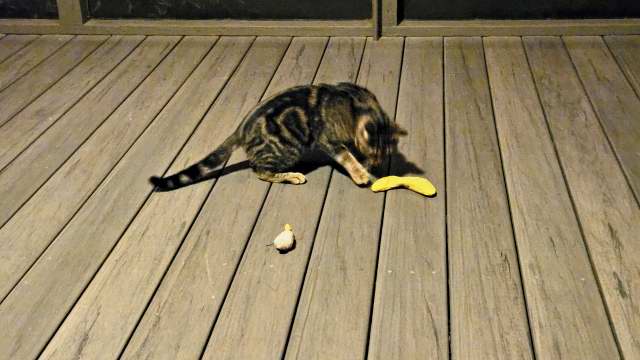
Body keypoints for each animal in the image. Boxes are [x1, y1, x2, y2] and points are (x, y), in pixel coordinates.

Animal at [150, 82, 404, 191]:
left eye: (384, 156)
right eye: (374, 153)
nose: (377, 163)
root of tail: (241, 129)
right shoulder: (328, 139)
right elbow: (346, 156)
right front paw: (360, 173)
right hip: (287, 149)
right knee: (259, 170)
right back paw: (292, 176)